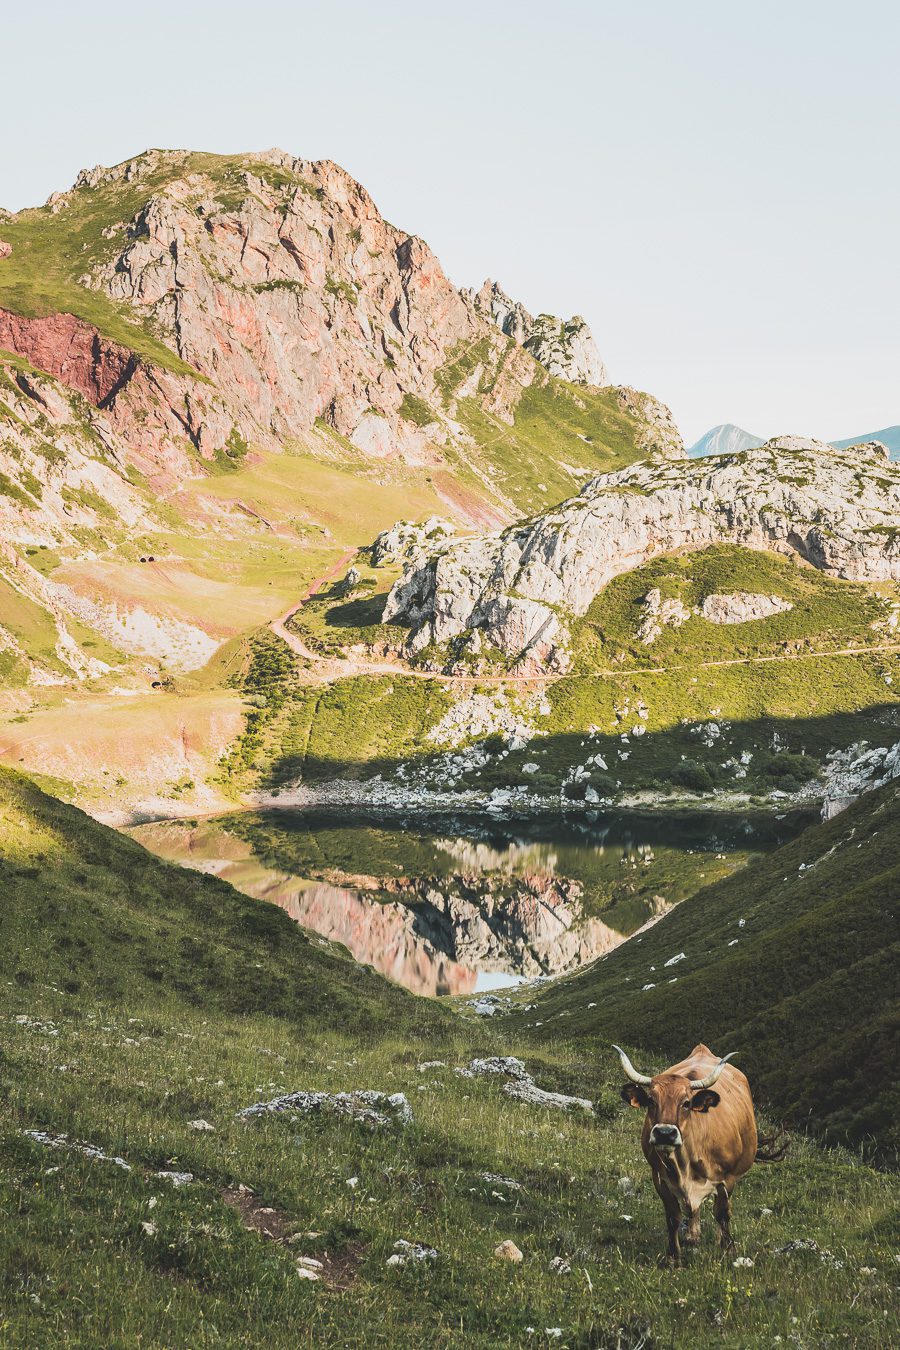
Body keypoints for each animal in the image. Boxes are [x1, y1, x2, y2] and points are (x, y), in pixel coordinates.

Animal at [612, 1042, 761, 1263]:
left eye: (686, 1103)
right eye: (651, 1100)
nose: (665, 1133)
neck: (685, 1164)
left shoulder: (728, 1178)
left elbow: (723, 1213)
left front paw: (728, 1250)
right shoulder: (660, 1178)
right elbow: (673, 1217)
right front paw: (674, 1257)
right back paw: (692, 1234)